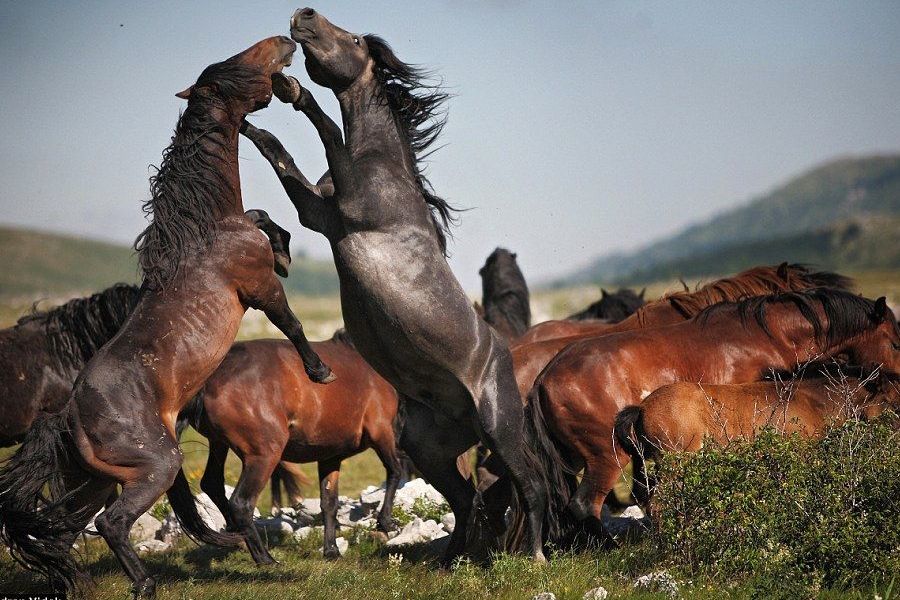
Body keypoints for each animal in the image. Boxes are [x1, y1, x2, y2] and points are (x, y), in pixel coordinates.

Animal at [0, 36, 334, 596]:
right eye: (234, 66)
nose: (285, 42)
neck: (207, 229)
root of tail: (67, 416)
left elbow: (264, 217)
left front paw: (286, 249)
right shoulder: (258, 288)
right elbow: (291, 321)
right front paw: (320, 370)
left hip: (98, 479)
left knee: (64, 528)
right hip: (156, 465)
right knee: (111, 523)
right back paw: (144, 584)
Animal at [179, 330, 400, 564]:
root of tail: (206, 381)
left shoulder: (330, 456)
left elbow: (329, 503)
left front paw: (331, 550)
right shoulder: (381, 431)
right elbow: (394, 471)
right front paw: (385, 522)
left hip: (219, 443)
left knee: (212, 483)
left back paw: (238, 538)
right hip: (264, 455)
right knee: (241, 502)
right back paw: (264, 558)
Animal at [239, 8, 564, 564]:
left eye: (351, 38)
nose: (303, 15)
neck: (382, 164)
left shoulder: (348, 207)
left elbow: (326, 128)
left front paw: (293, 91)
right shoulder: (320, 215)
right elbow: (276, 158)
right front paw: (247, 121)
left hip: (499, 431)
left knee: (531, 485)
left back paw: (536, 556)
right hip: (428, 449)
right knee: (467, 499)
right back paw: (449, 561)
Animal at [532, 288, 900, 540]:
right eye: (895, 343)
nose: (896, 383)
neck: (762, 337)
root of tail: (542, 380)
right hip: (608, 457)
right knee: (586, 504)